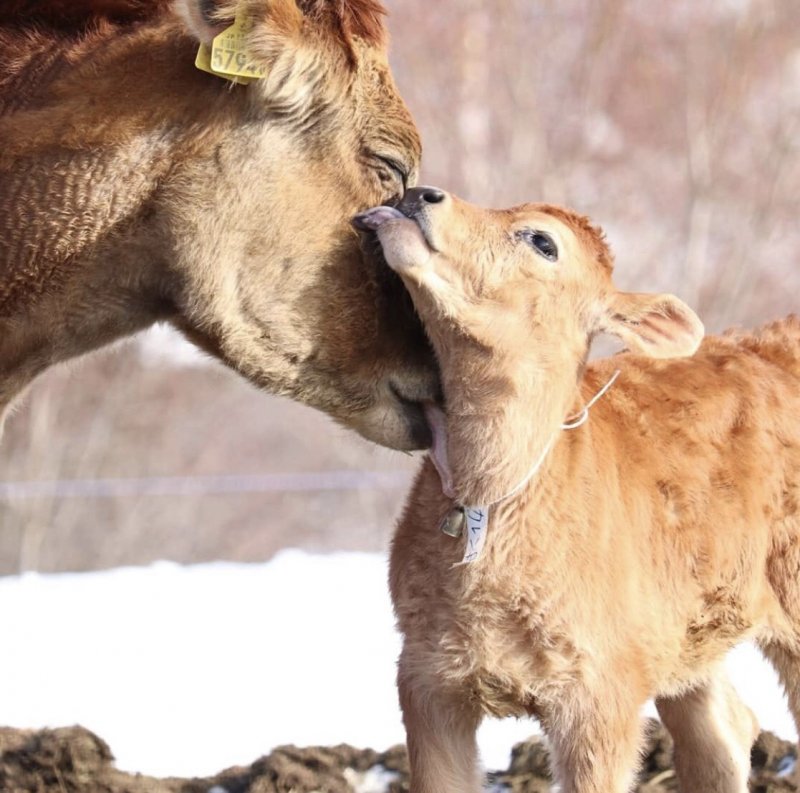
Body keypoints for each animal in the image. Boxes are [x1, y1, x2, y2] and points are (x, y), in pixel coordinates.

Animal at [354, 190, 800, 792]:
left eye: (542, 241)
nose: (421, 193)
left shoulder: (600, 696)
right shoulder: (427, 680)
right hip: (684, 636)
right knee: (721, 732)